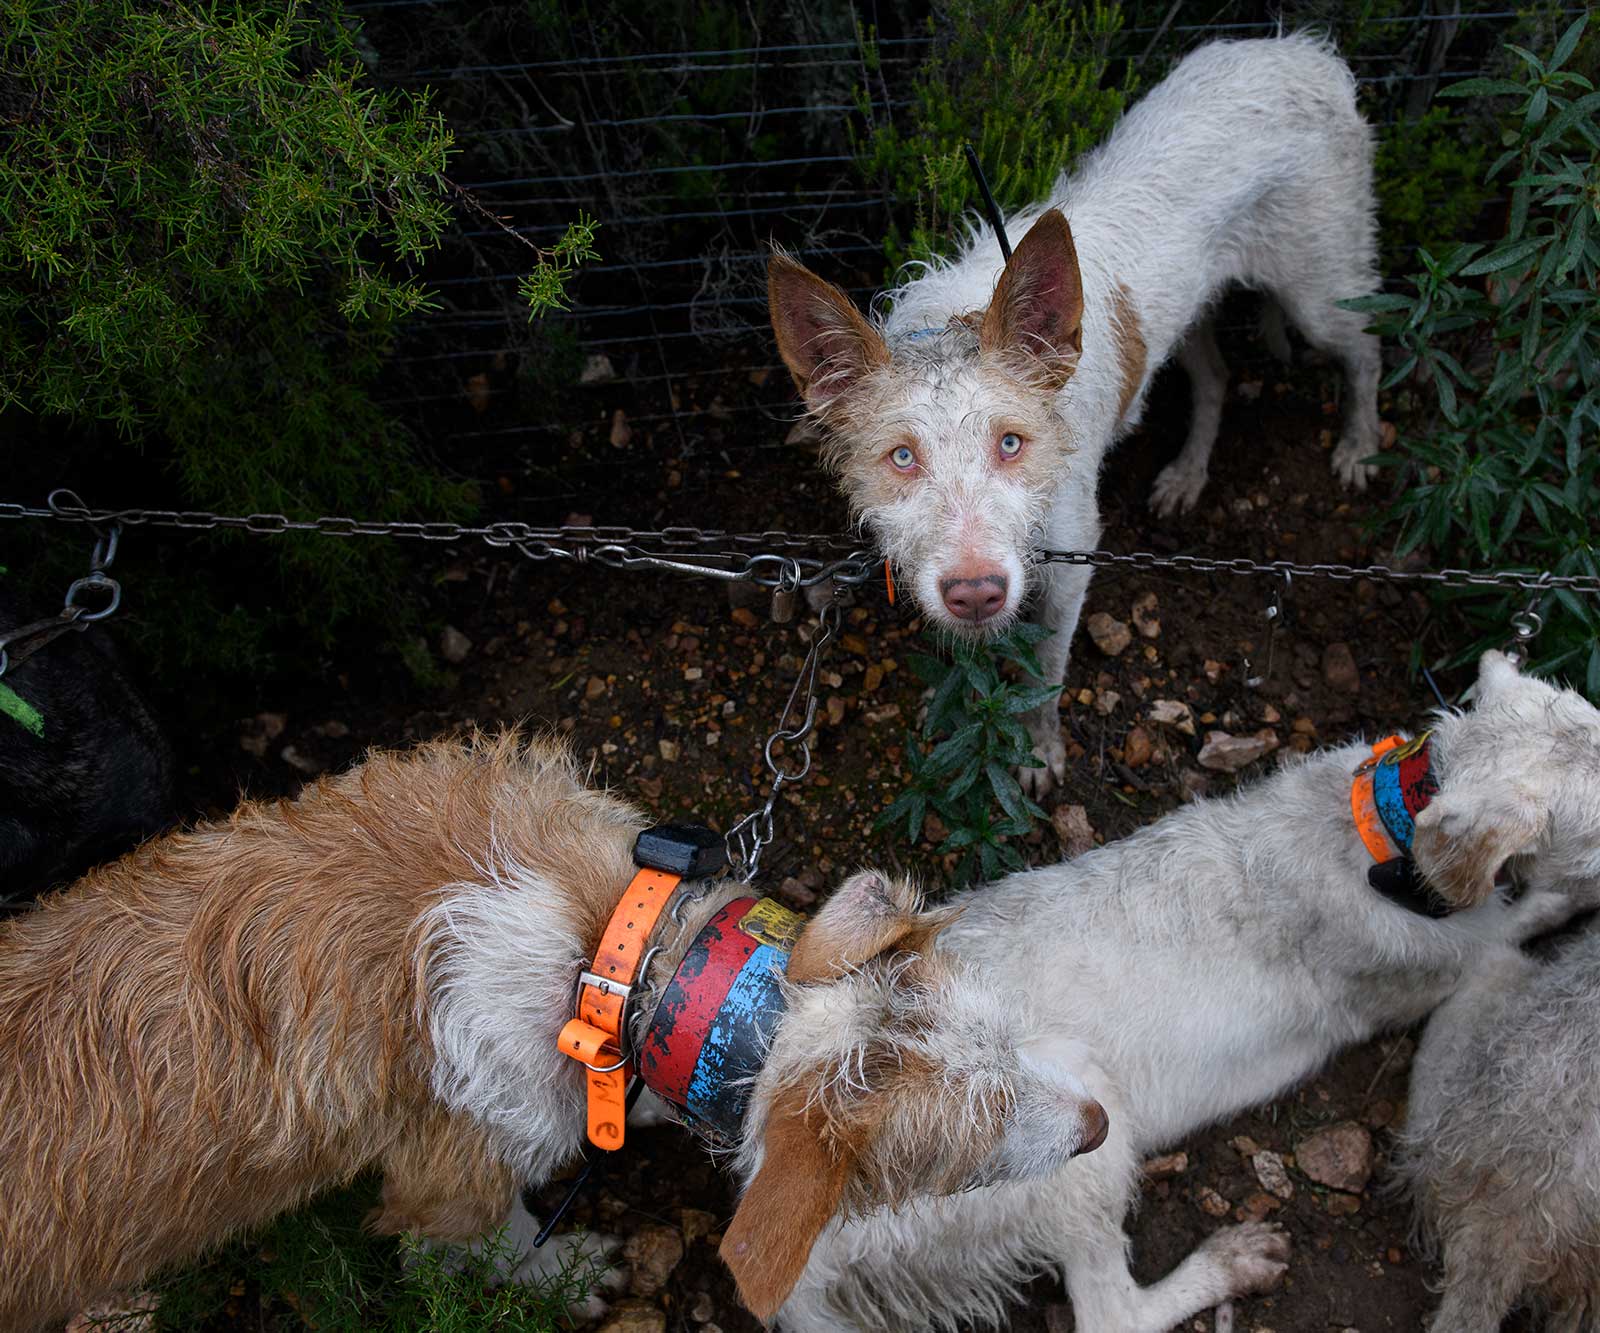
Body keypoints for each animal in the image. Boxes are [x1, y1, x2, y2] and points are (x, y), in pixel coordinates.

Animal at [0, 732, 1107, 1324]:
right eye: (951, 1158)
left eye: (1005, 1034)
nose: (1100, 1125)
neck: (618, 965)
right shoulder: (447, 1179)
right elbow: (487, 1236)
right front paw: (562, 1271)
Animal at [768, 36, 1382, 796]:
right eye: (902, 457)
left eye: (1012, 443)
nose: (976, 592)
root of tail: (1305, 50)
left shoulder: (1071, 558)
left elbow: (1047, 672)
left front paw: (1039, 751)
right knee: (1216, 377)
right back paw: (1187, 474)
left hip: (1321, 291)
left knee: (1368, 348)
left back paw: (1360, 444)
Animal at [774, 659, 1600, 1331]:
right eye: (1598, 830)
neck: (1386, 829)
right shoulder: (1449, 965)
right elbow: (1527, 917)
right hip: (1082, 1123)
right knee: (1113, 1314)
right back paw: (1228, 1262)